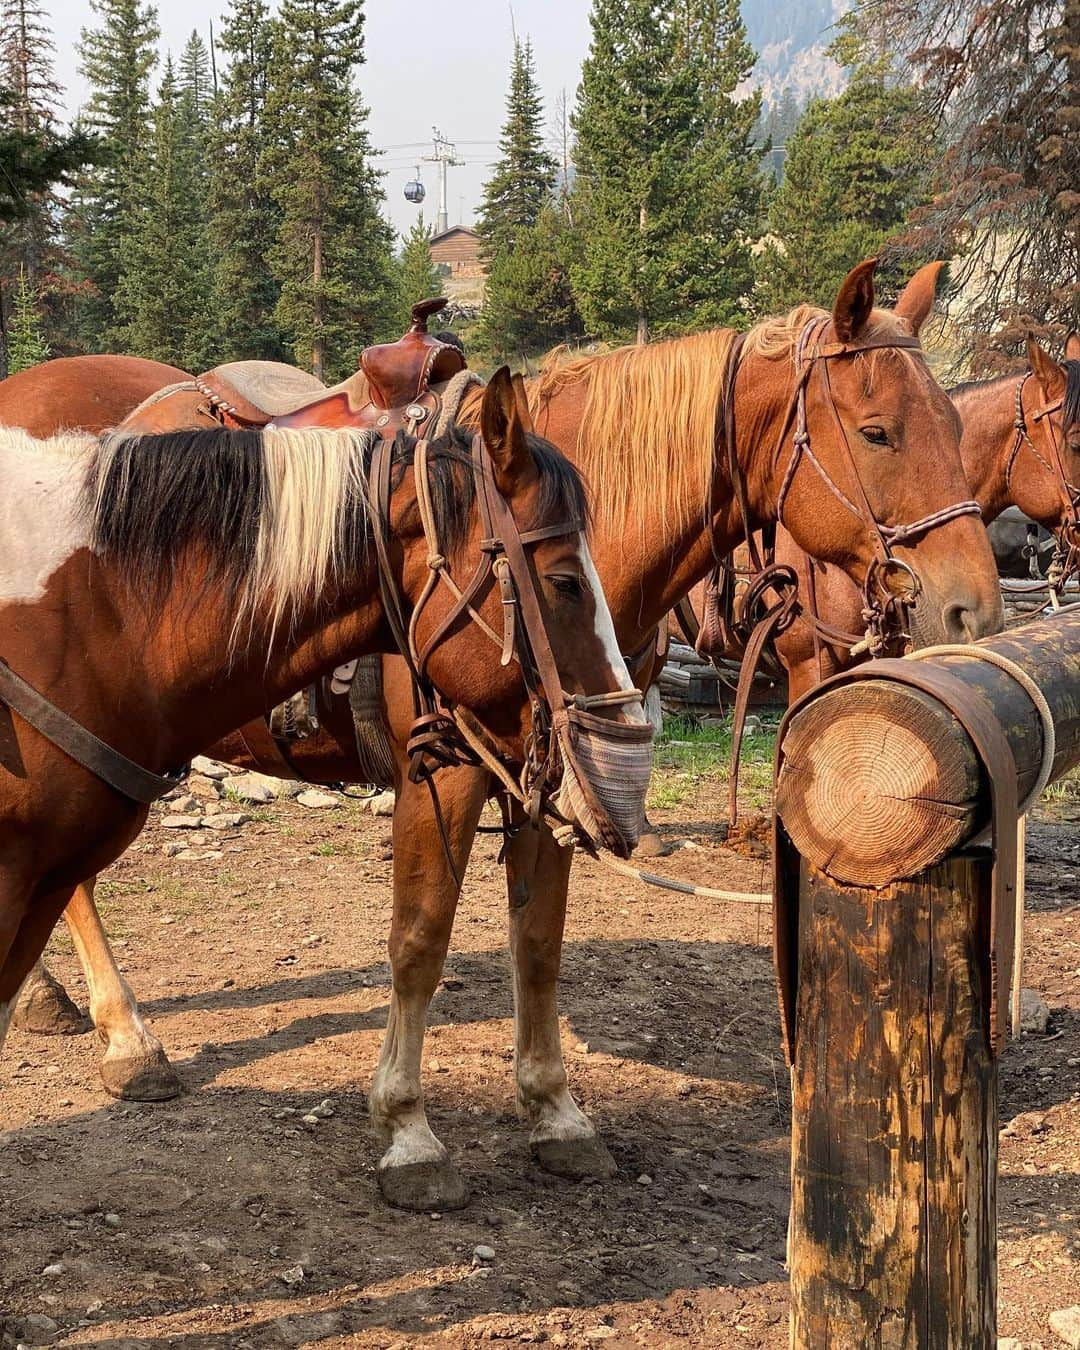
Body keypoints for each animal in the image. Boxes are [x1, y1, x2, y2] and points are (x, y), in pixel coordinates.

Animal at [8, 257, 1009, 1209]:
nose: (973, 609)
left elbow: (540, 943)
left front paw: (555, 1112)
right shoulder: (444, 773)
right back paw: (126, 1038)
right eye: (878, 432)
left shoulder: (557, 779)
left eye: (954, 427)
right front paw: (409, 1132)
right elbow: (419, 941)